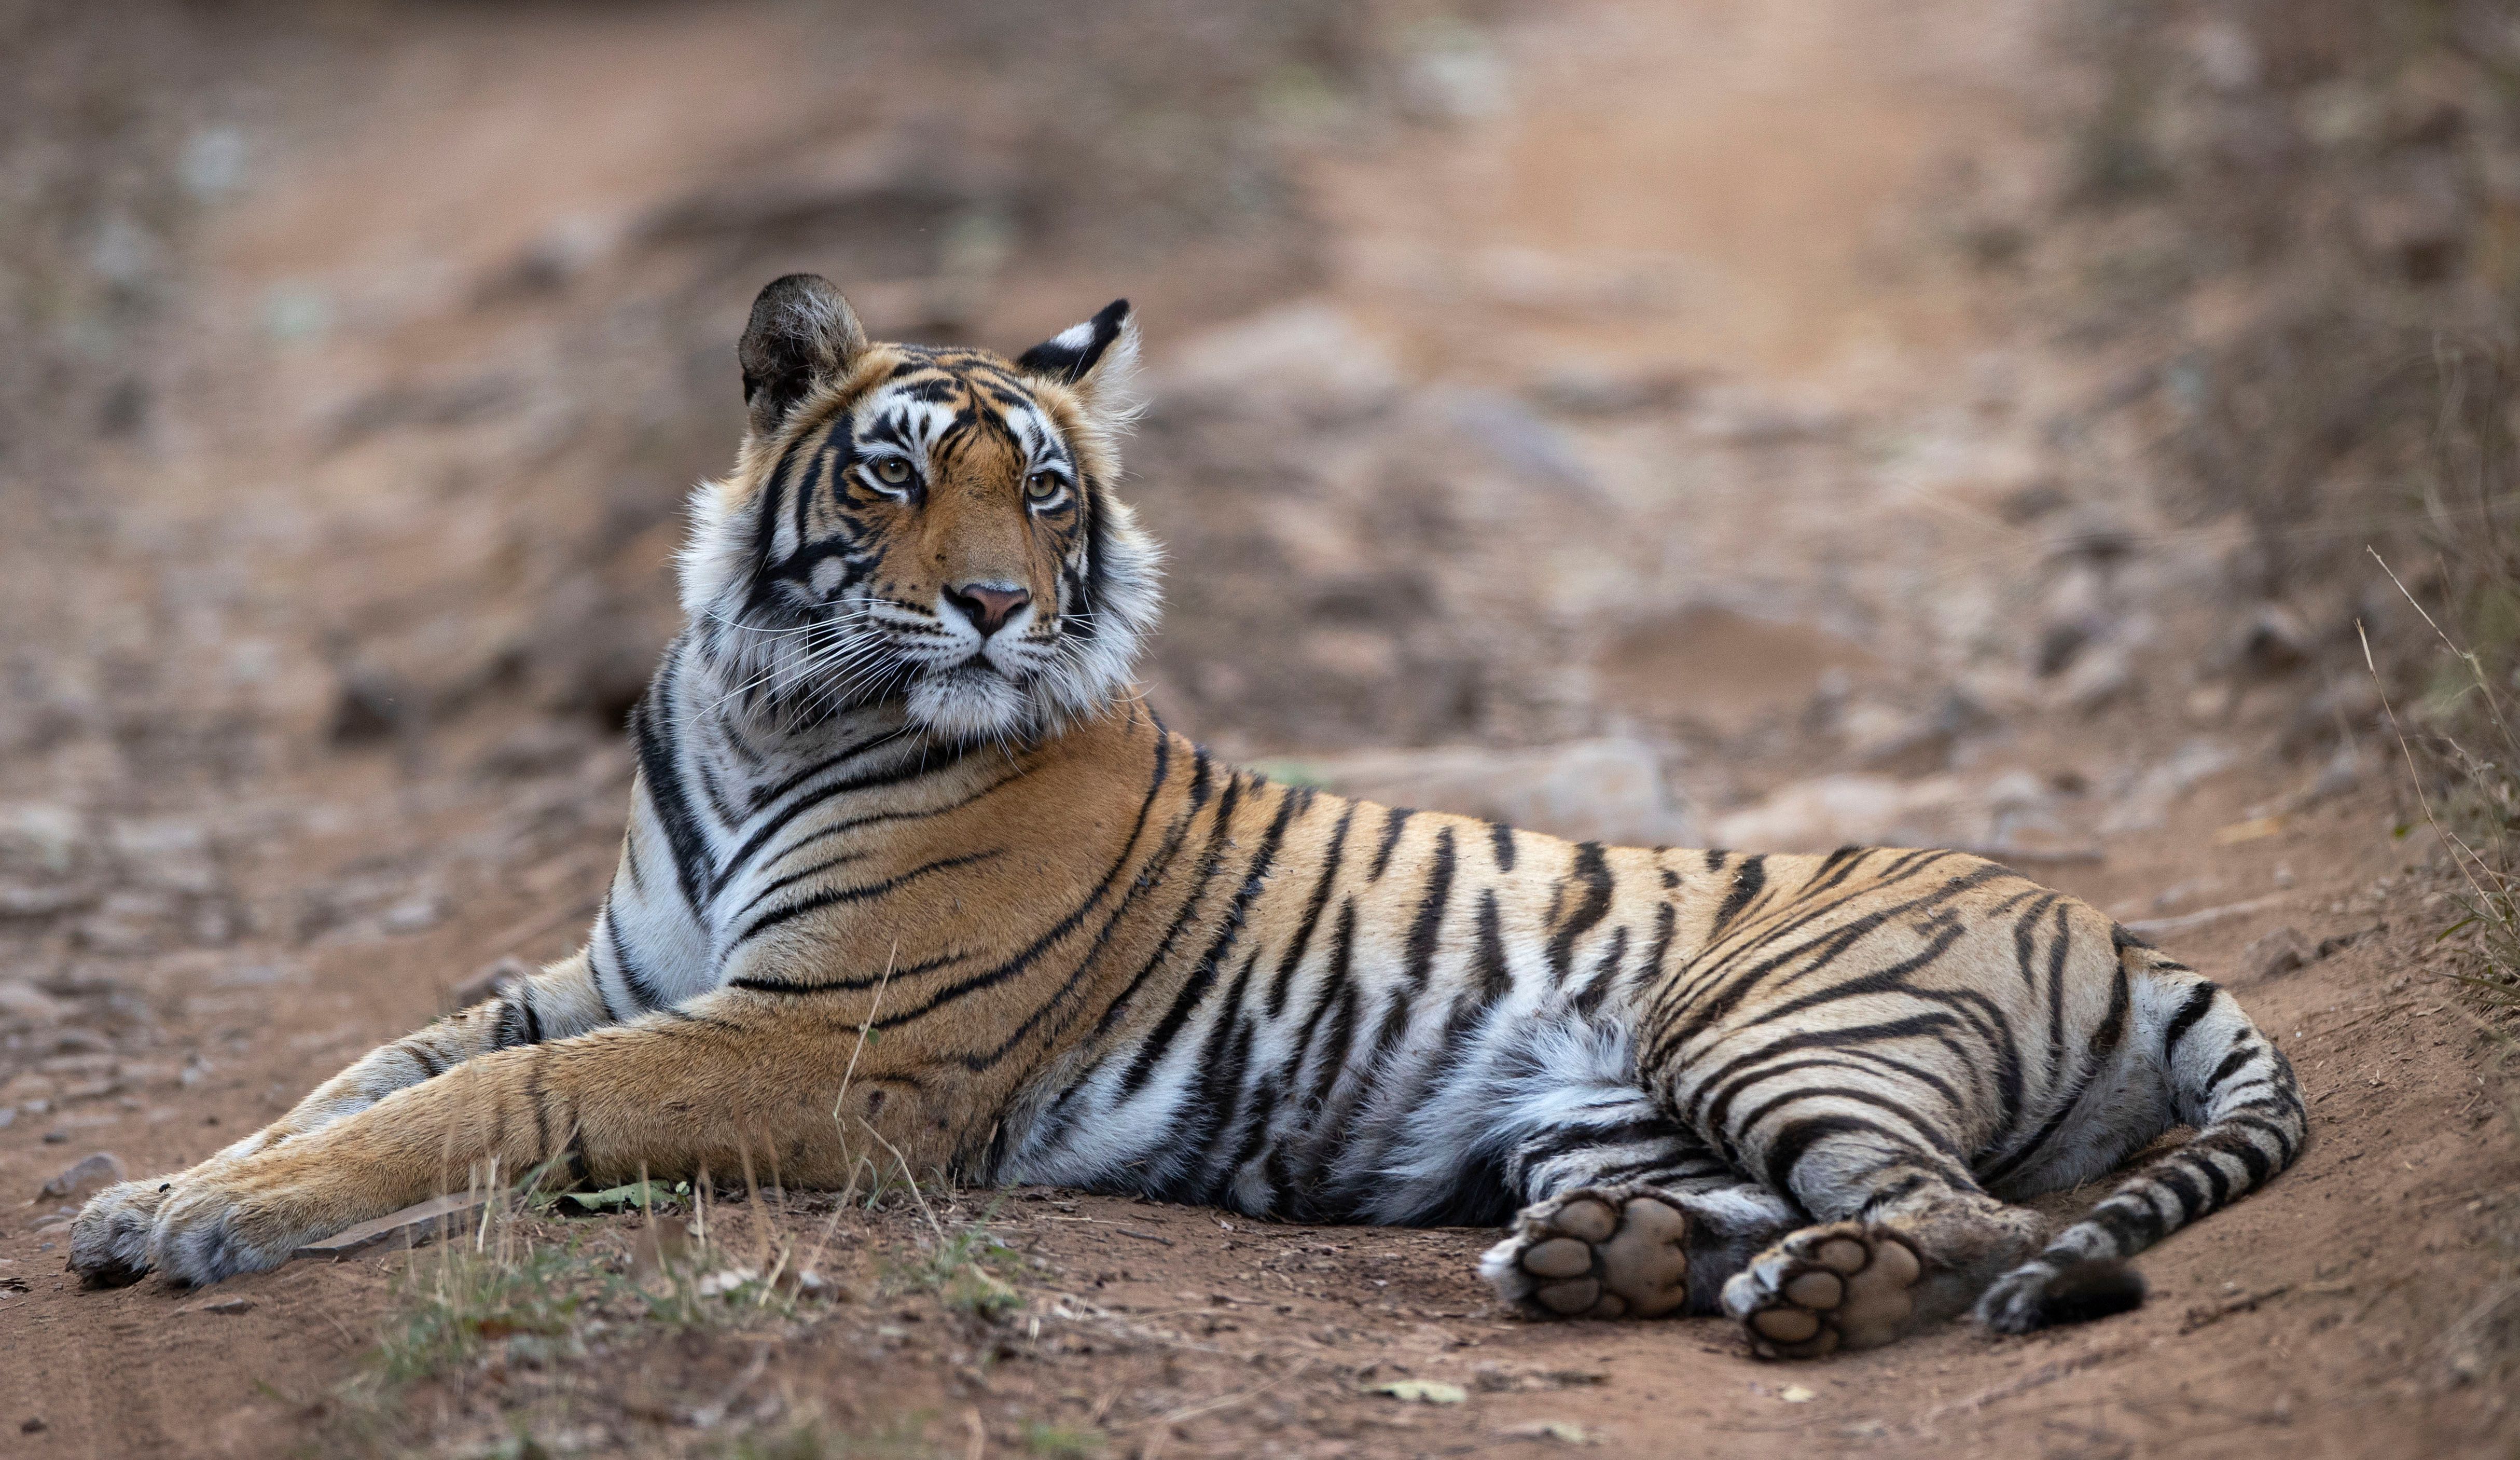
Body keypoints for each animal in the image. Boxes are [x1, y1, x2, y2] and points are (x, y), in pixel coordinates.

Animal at [71, 274, 2306, 1358]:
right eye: (894, 472)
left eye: (1043, 489)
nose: (992, 602)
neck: (763, 706)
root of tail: (2117, 926)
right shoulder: (617, 966)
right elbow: (379, 1065)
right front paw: (152, 1188)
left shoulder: (815, 1038)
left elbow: (486, 1104)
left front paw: (202, 1219)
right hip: (1601, 1106)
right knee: (1785, 1197)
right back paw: (1613, 1265)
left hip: (1761, 1022)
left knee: (1959, 1215)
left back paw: (1809, 1306)